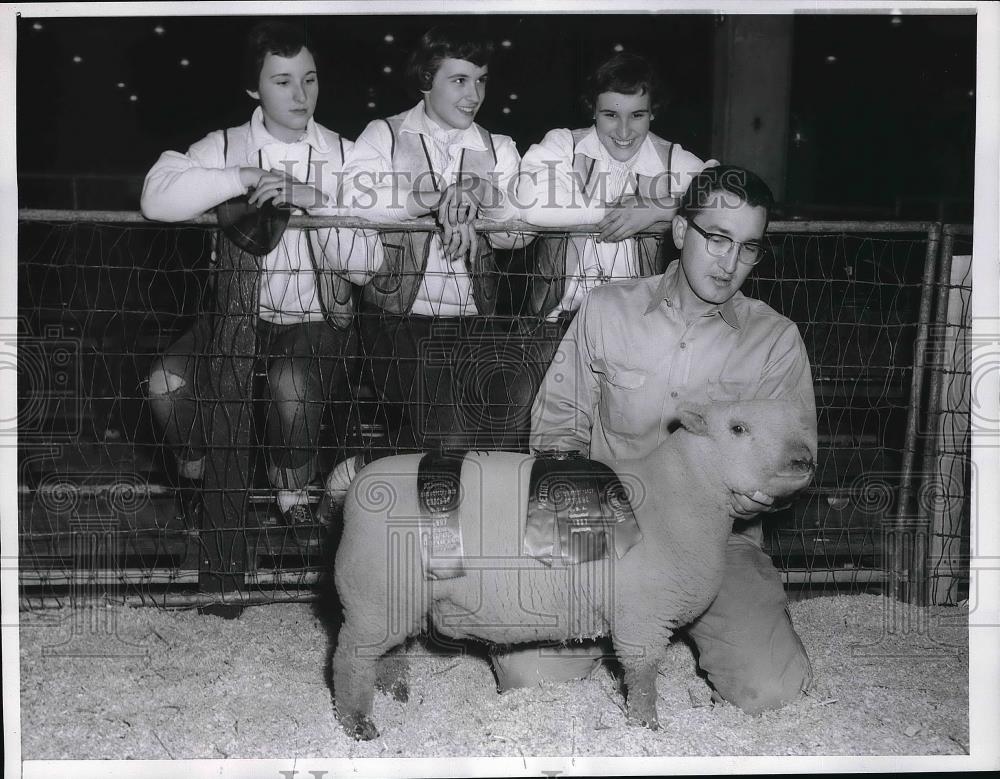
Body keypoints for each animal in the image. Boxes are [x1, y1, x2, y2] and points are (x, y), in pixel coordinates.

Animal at [328, 400, 812, 740]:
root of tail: (352, 487)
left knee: (385, 652)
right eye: (738, 428)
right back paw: (358, 724)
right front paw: (647, 725)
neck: (679, 497)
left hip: (396, 597)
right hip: (373, 593)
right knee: (351, 657)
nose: (804, 461)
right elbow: (642, 677)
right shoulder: (641, 617)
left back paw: (395, 693)